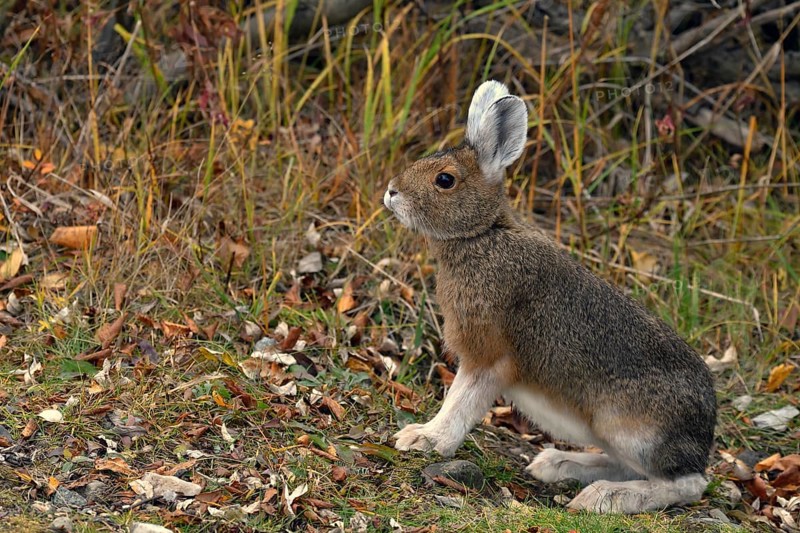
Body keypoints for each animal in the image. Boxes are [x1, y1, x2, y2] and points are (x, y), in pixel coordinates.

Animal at [383, 80, 716, 514]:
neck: (483, 234)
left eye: (445, 180)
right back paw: (557, 464)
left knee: (685, 484)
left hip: (628, 427)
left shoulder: (489, 356)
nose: (391, 192)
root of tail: (705, 432)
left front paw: (423, 438)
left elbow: (461, 402)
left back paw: (605, 496)